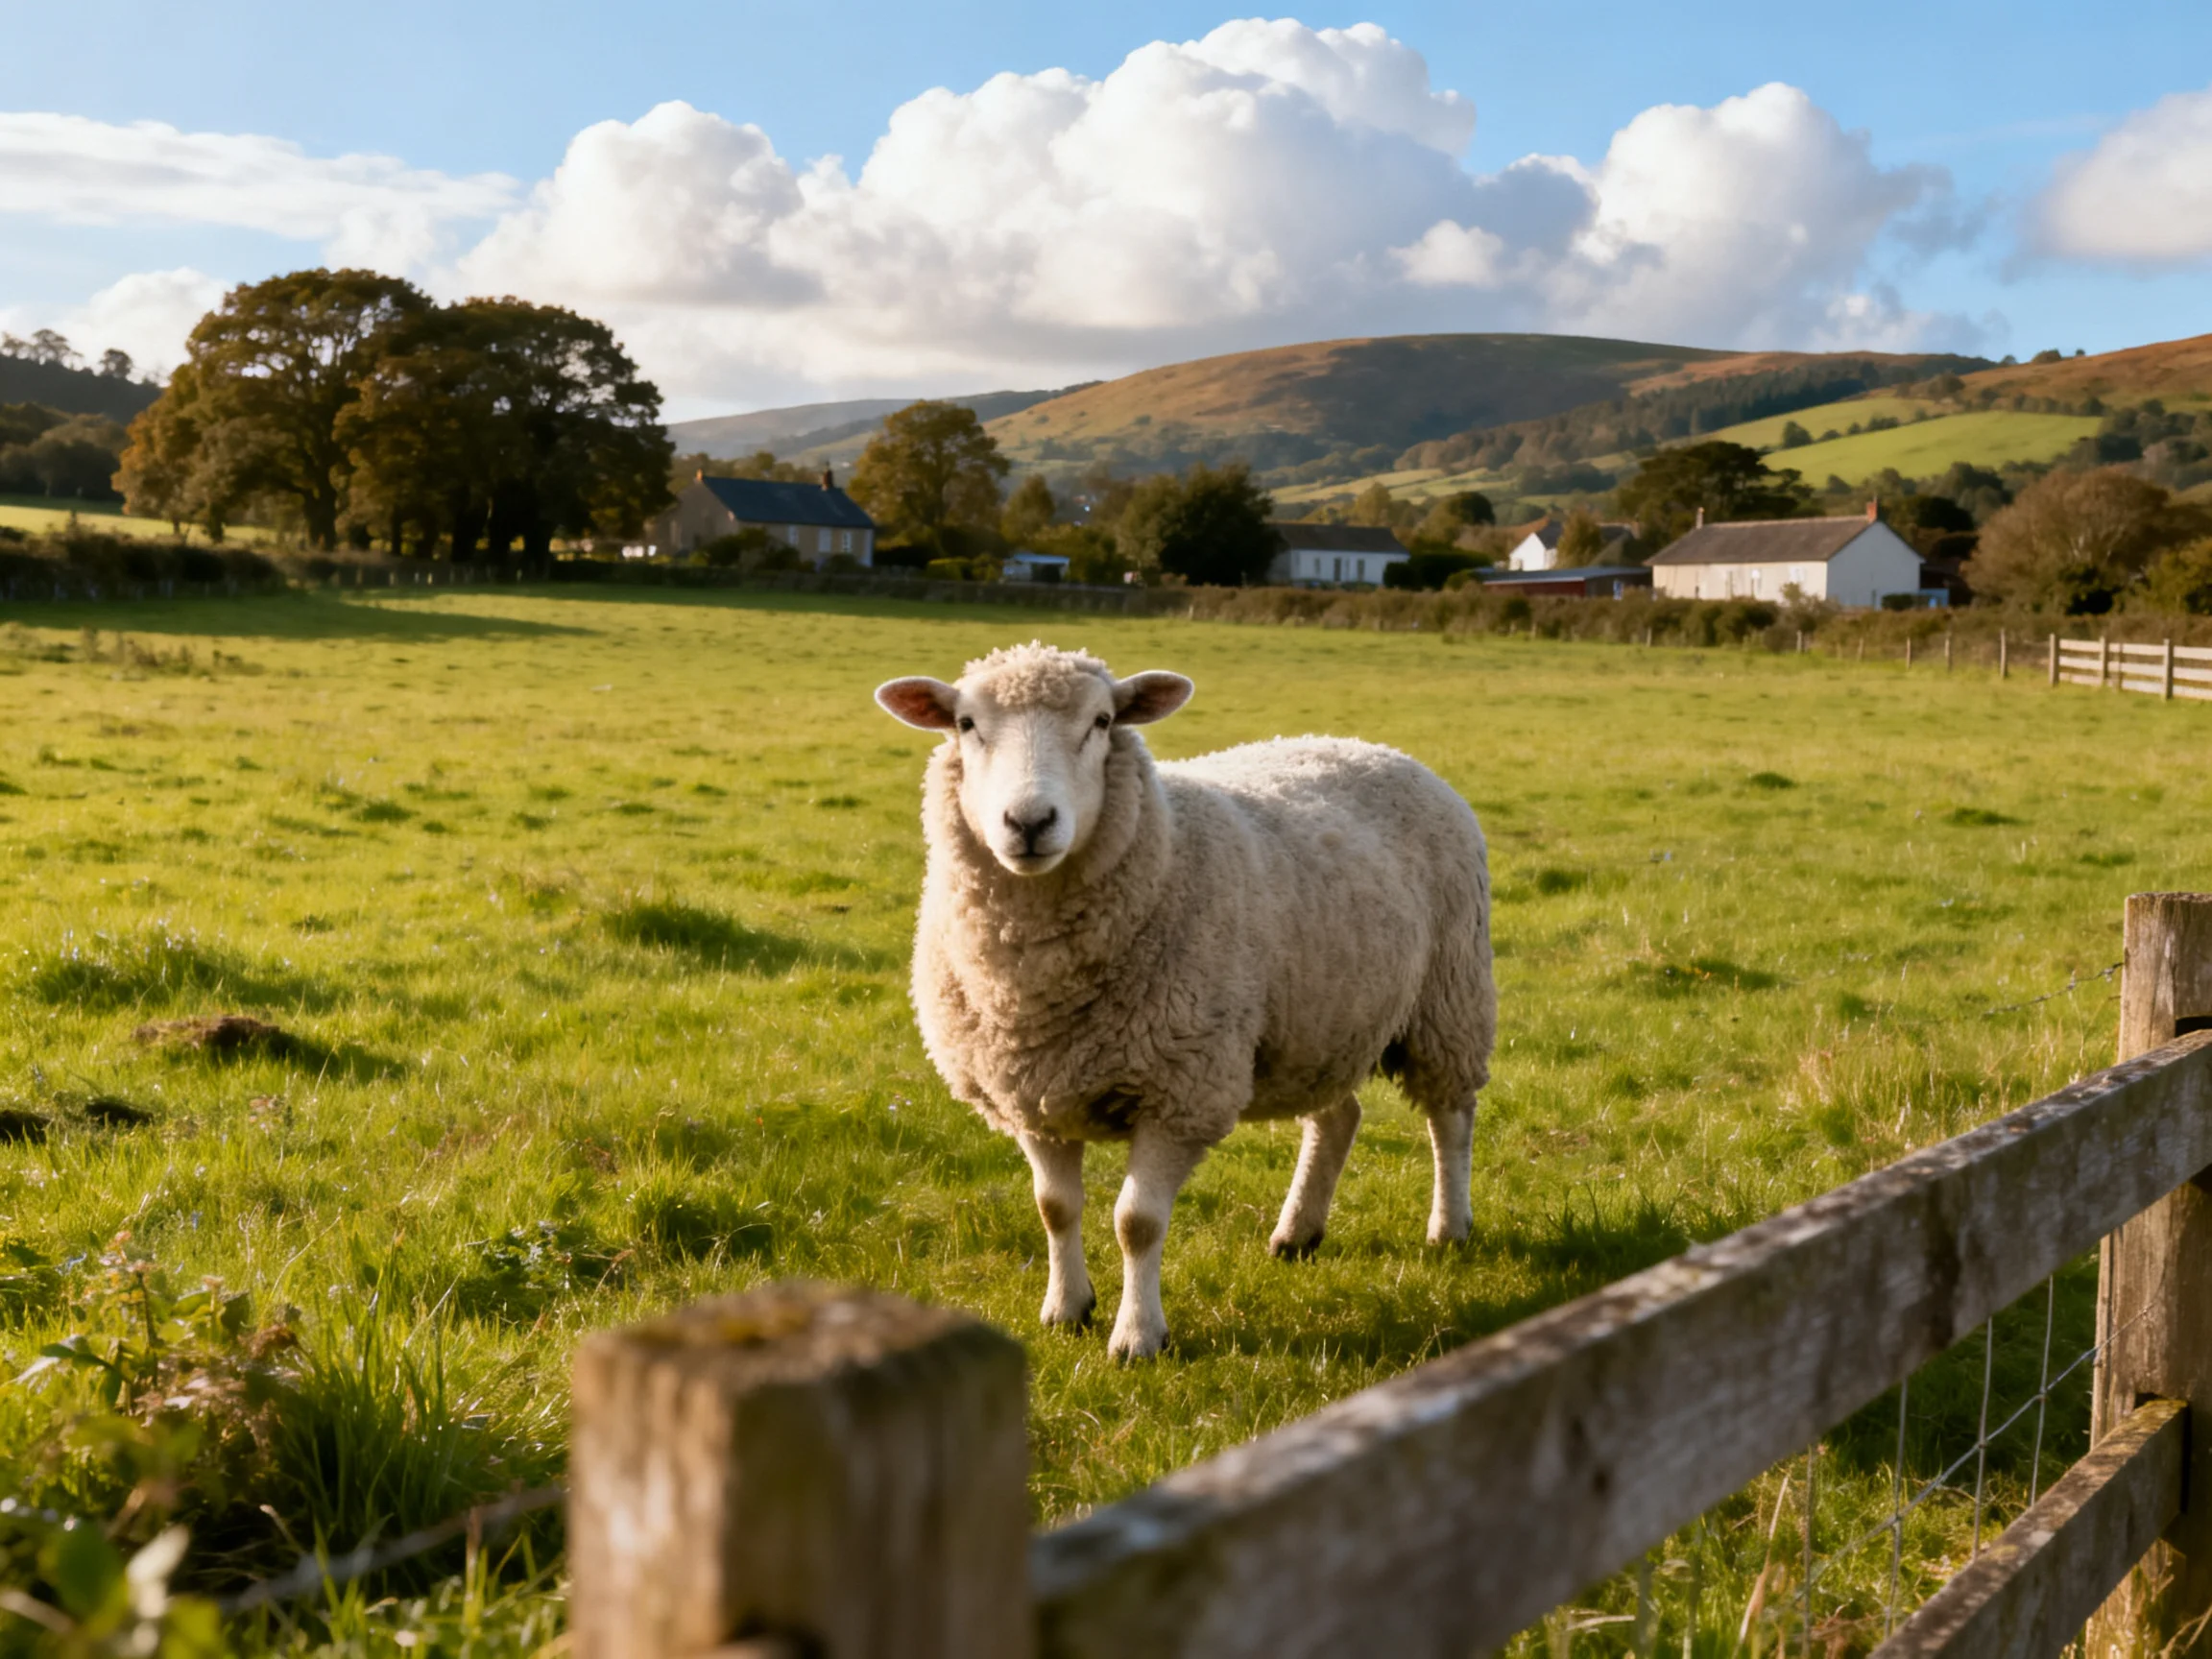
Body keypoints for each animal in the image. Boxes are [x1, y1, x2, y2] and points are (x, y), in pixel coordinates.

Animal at [876, 642, 1494, 1361]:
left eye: (1102, 721)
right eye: (966, 724)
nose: (1029, 823)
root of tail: (1367, 744)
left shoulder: (1180, 1092)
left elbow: (1137, 1222)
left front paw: (1138, 1337)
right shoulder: (1032, 1093)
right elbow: (1055, 1208)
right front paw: (1066, 1309)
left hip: (1448, 999)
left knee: (1451, 1119)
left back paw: (1449, 1227)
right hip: (1321, 1017)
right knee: (1338, 1117)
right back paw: (1297, 1233)